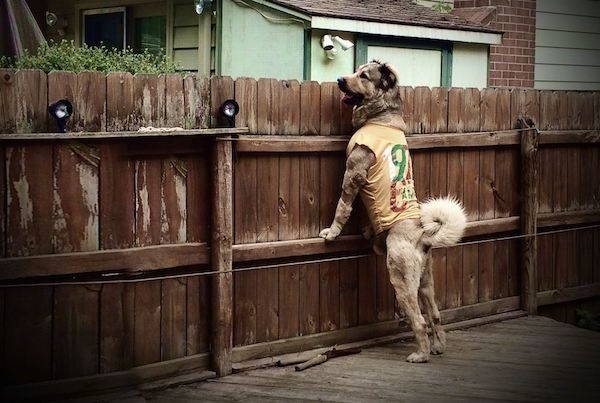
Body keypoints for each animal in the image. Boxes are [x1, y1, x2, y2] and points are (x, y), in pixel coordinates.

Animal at [318, 61, 468, 364]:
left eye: (363, 76)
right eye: (356, 70)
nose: (339, 79)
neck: (382, 115)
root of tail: (423, 236)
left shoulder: (353, 174)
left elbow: (343, 207)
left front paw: (332, 233)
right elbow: (365, 210)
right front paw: (366, 229)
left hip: (400, 278)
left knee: (419, 320)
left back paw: (421, 355)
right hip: (426, 280)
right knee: (435, 315)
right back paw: (438, 347)